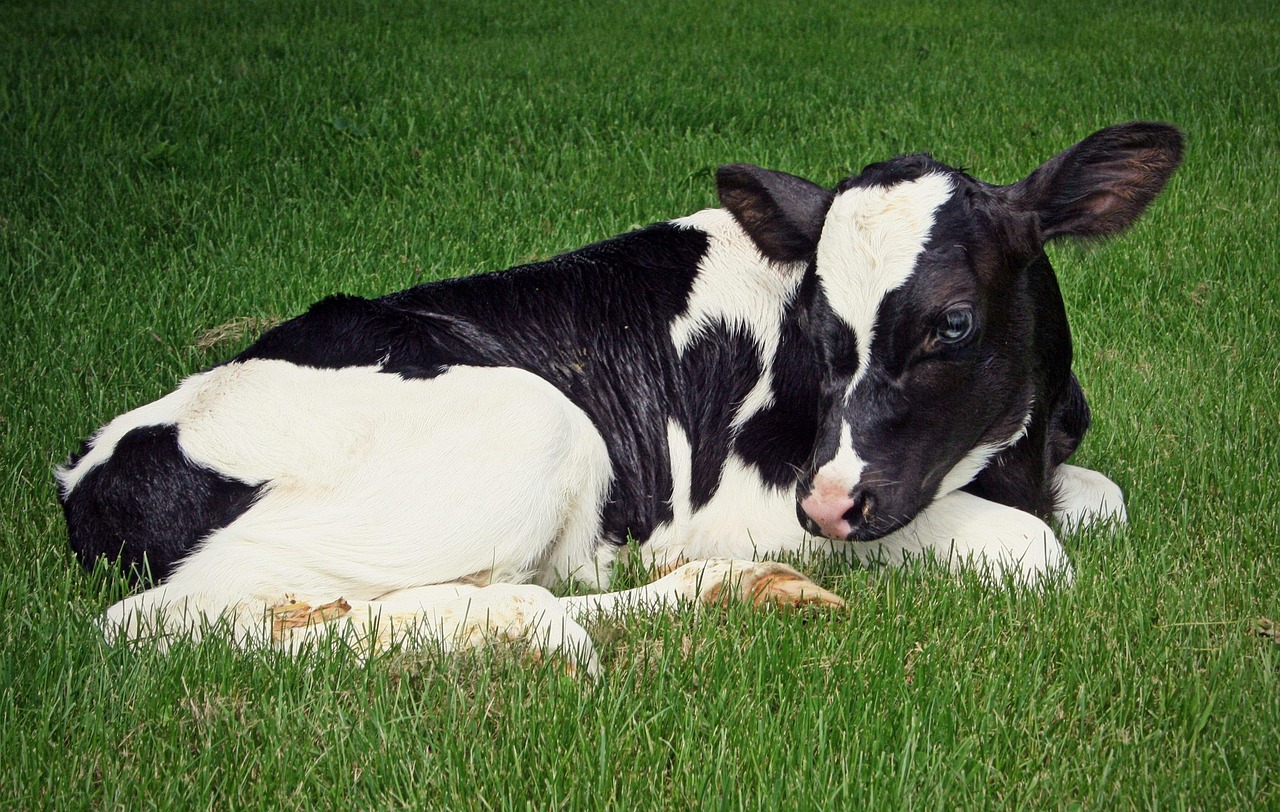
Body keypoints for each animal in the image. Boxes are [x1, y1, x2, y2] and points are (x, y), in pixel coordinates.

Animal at [58, 123, 1183, 674]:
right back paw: (528, 630)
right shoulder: (758, 497)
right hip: (535, 426)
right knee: (158, 621)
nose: (827, 508)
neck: (1012, 449)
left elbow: (1102, 500)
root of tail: (94, 465)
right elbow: (1035, 550)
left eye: (951, 322)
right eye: (815, 323)